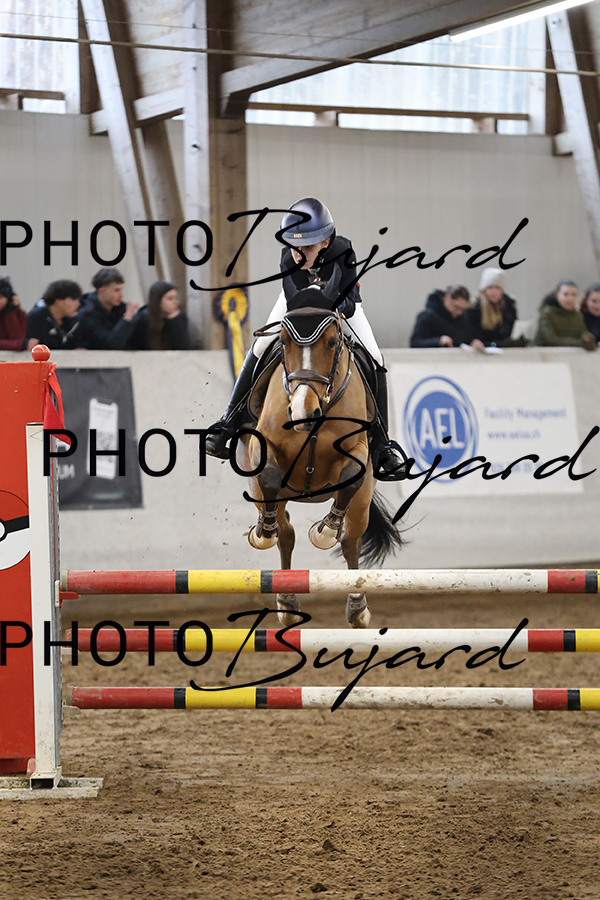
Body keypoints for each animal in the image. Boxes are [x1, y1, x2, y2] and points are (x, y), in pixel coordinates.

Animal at [235, 280, 402, 628]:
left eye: (332, 341)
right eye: (283, 342)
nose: (303, 413)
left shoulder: (357, 451)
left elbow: (350, 475)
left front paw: (324, 531)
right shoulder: (261, 447)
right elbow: (270, 475)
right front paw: (262, 532)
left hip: (361, 503)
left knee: (350, 540)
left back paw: (356, 606)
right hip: (262, 491)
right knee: (283, 530)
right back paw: (285, 595)